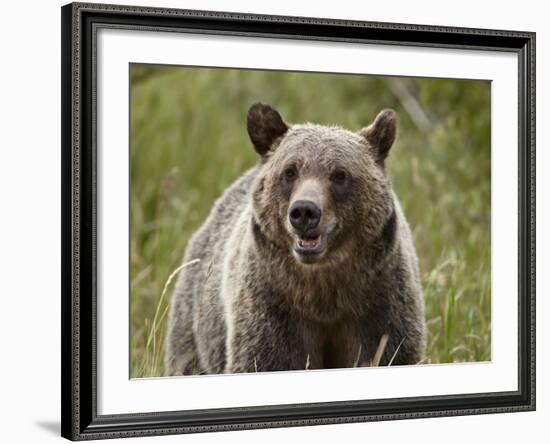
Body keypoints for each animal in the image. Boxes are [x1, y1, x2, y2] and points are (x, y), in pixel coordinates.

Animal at [165, 103, 426, 374]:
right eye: (290, 171)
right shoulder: (274, 308)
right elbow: (265, 359)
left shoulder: (379, 305)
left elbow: (390, 351)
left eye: (339, 174)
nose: (304, 211)